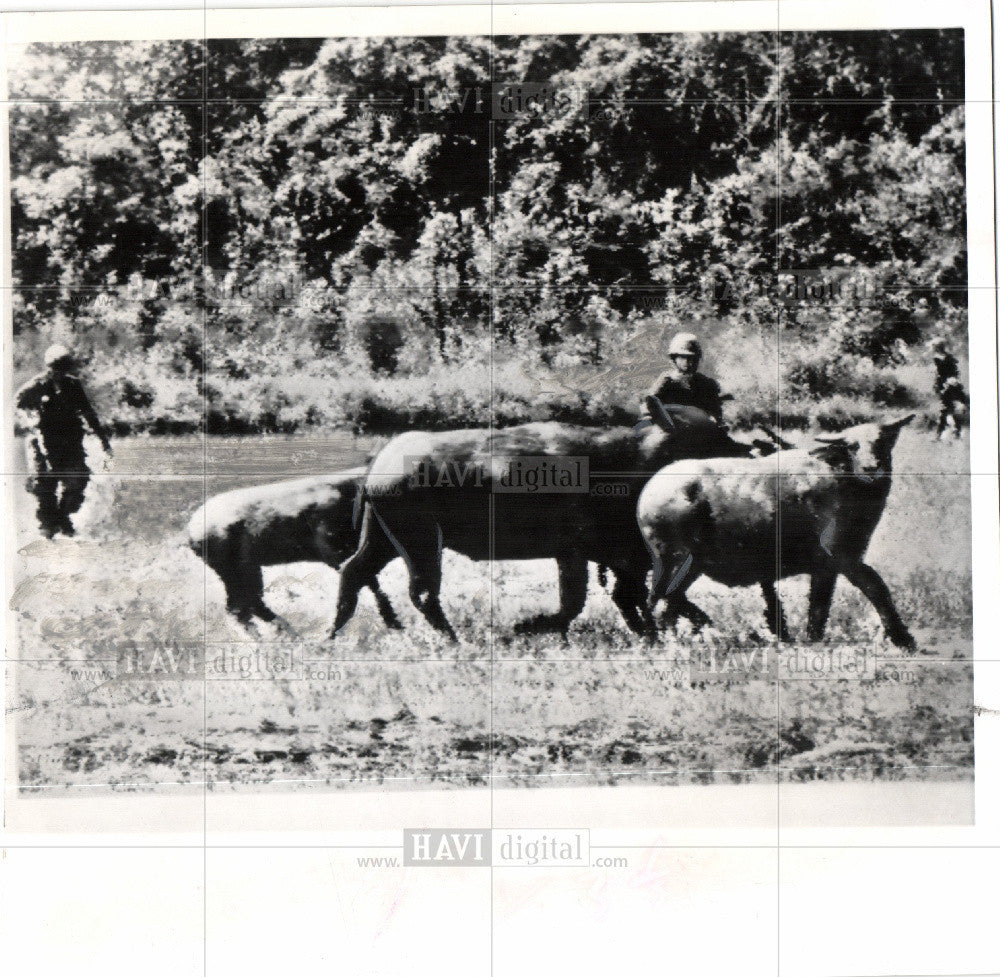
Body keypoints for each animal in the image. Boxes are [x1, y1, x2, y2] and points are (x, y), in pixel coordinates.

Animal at [189, 468, 400, 636]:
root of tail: (191, 534)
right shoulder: (336, 553)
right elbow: (366, 584)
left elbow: (372, 586)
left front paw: (394, 624)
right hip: (234, 570)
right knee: (240, 606)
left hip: (246, 570)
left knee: (248, 603)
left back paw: (287, 633)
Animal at [332, 398, 760, 640]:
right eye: (714, 434)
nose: (748, 451)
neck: (627, 463)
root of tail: (378, 466)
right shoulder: (585, 554)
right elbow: (582, 604)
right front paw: (531, 626)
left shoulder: (605, 558)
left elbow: (632, 598)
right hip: (420, 543)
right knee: (422, 592)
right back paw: (453, 638)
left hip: (384, 540)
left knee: (354, 571)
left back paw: (336, 630)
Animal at [636, 414, 916, 648]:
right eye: (853, 446)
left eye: (882, 442)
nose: (872, 468)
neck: (843, 482)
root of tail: (649, 492)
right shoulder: (843, 557)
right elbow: (876, 587)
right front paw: (903, 639)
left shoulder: (826, 568)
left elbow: (819, 607)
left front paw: (813, 640)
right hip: (676, 560)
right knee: (661, 602)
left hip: (689, 565)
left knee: (666, 601)